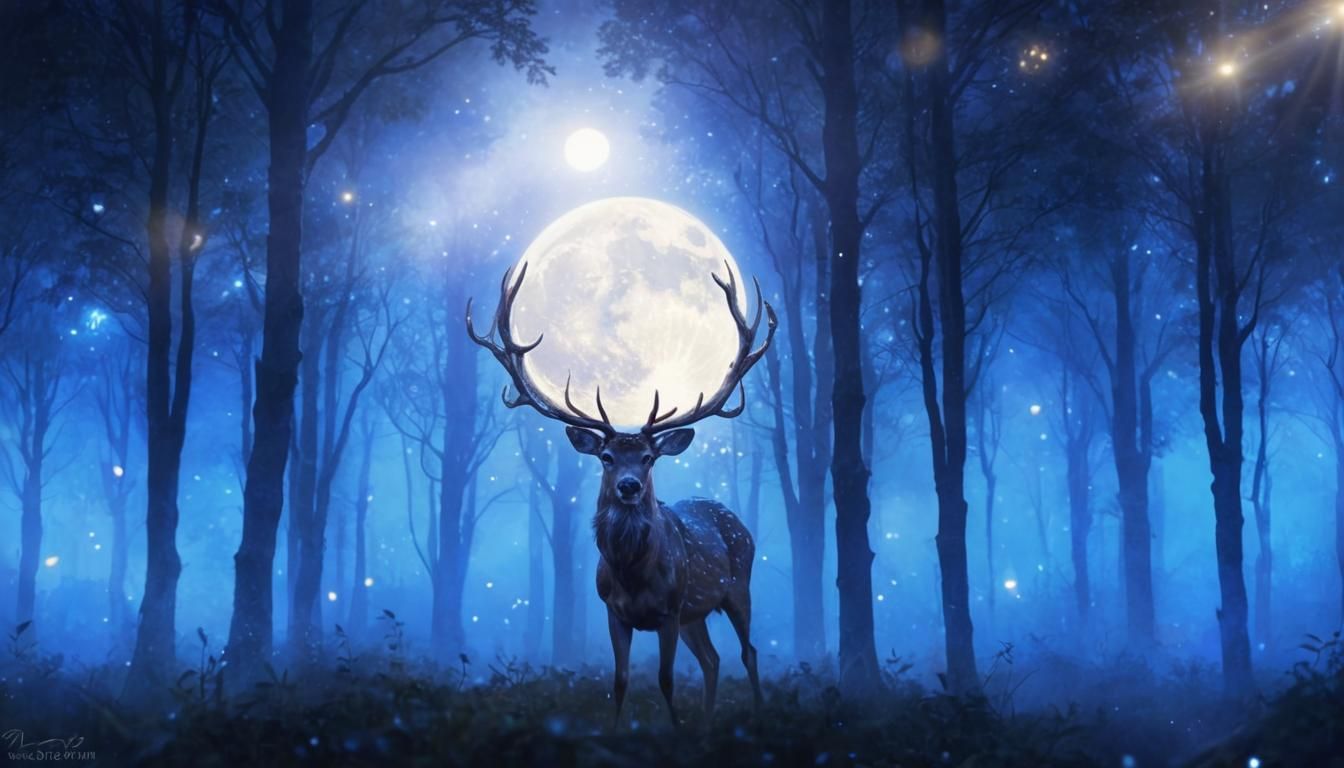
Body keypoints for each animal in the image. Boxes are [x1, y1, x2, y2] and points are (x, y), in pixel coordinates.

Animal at [467, 260, 776, 727]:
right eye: (607, 457)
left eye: (648, 457)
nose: (629, 486)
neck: (633, 574)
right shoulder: (614, 612)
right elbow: (620, 681)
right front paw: (618, 732)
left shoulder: (670, 609)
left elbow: (665, 680)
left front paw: (676, 731)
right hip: (696, 613)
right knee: (712, 659)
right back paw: (706, 724)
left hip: (737, 586)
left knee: (748, 652)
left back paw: (756, 714)